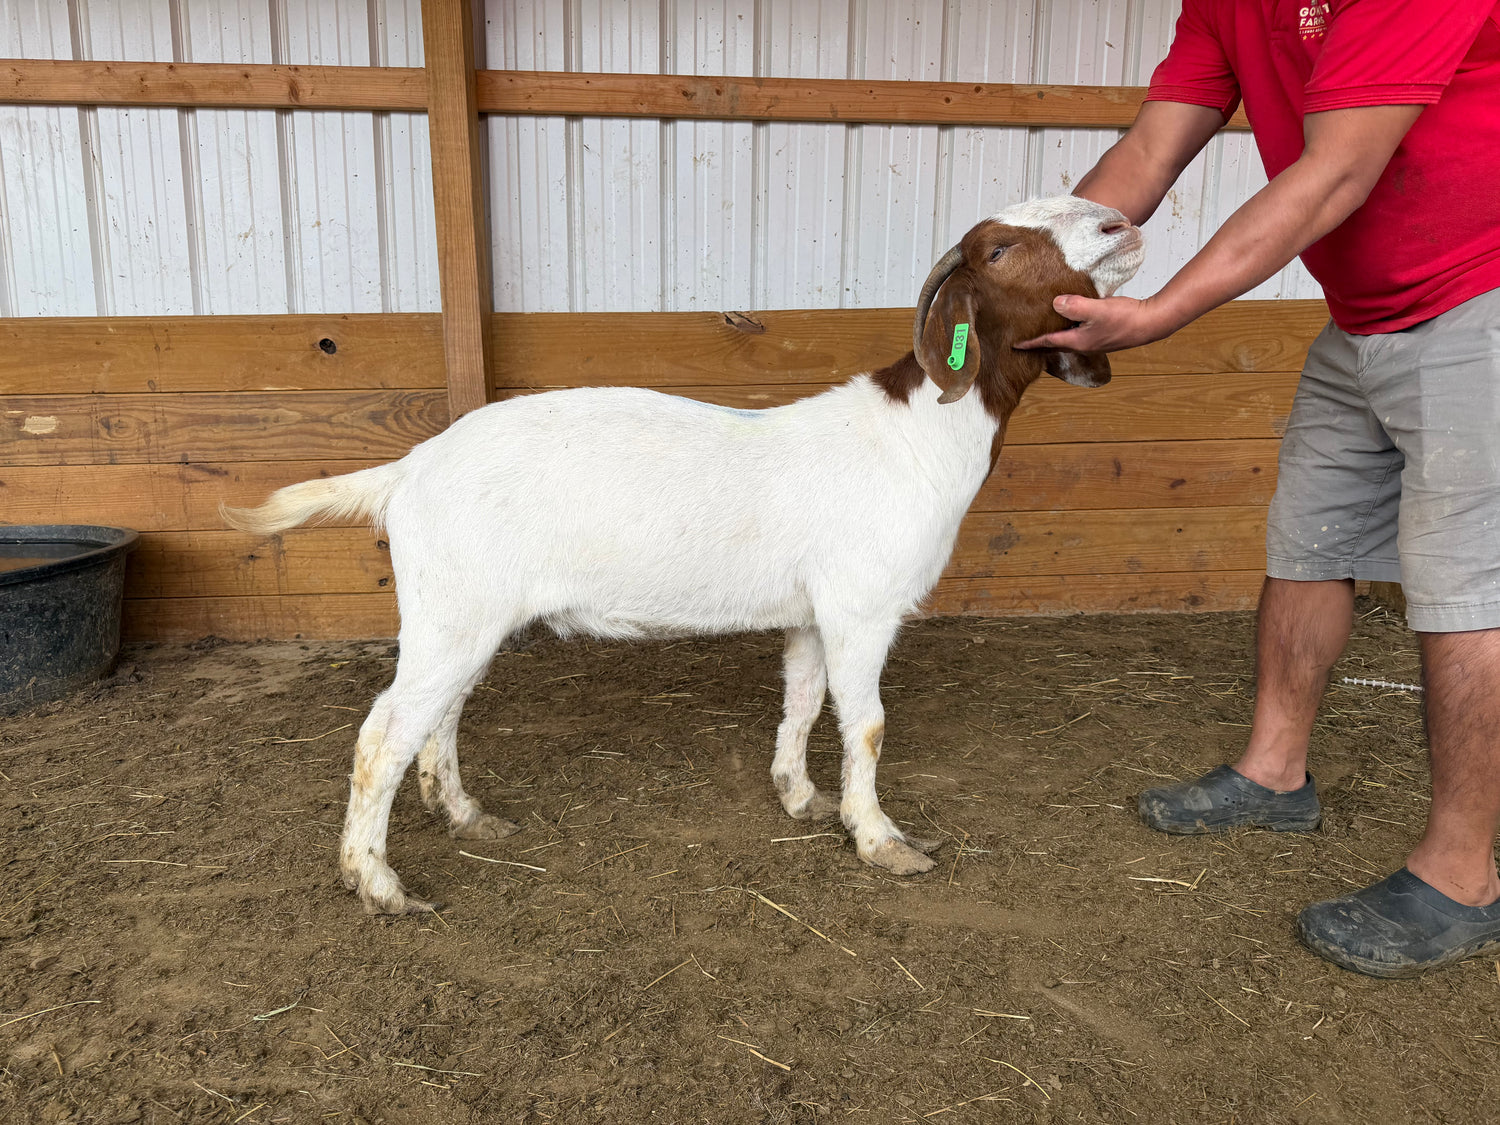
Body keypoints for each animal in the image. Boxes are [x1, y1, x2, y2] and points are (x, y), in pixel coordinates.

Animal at [222, 196, 1144, 914]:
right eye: (999, 249)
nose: (1122, 223)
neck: (918, 433)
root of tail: (408, 469)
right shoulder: (862, 604)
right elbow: (869, 724)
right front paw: (882, 839)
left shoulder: (813, 613)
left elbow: (804, 700)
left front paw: (800, 796)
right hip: (454, 608)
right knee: (382, 733)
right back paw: (378, 885)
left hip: (463, 613)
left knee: (437, 716)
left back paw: (467, 816)